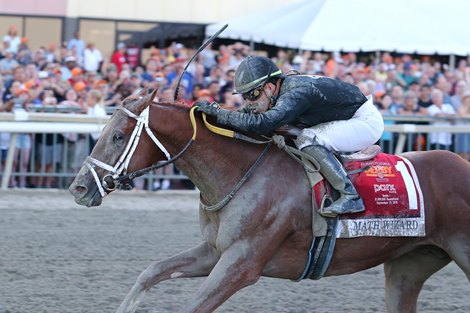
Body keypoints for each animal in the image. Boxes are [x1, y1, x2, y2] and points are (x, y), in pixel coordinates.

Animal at [69, 89, 470, 310]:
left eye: (118, 136)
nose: (79, 189)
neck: (241, 173)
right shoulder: (215, 252)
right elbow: (150, 272)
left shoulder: (242, 265)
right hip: (409, 265)